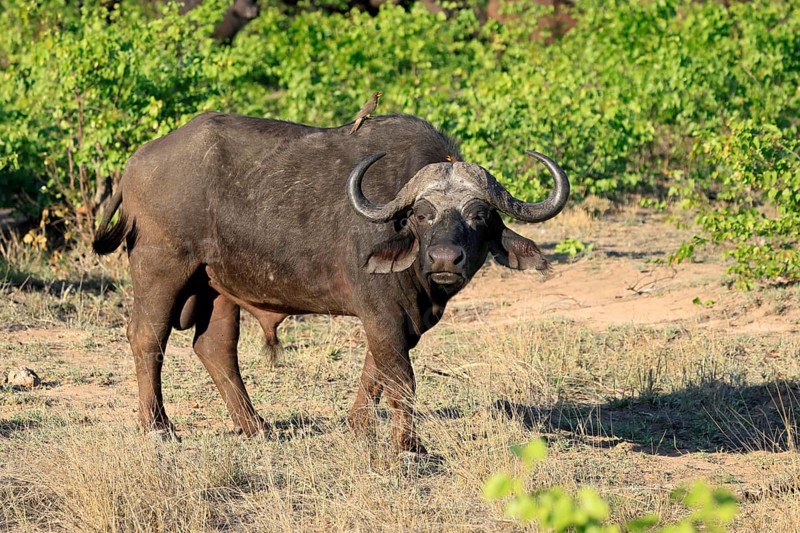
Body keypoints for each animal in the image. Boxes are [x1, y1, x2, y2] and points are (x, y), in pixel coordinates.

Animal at [93, 112, 569, 453]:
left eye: (479, 214)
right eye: (422, 214)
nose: (445, 259)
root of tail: (135, 164)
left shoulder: (401, 318)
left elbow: (377, 370)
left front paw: (357, 427)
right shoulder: (381, 311)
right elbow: (401, 378)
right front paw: (408, 445)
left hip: (219, 285)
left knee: (214, 347)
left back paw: (257, 427)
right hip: (162, 267)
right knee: (147, 337)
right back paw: (158, 427)